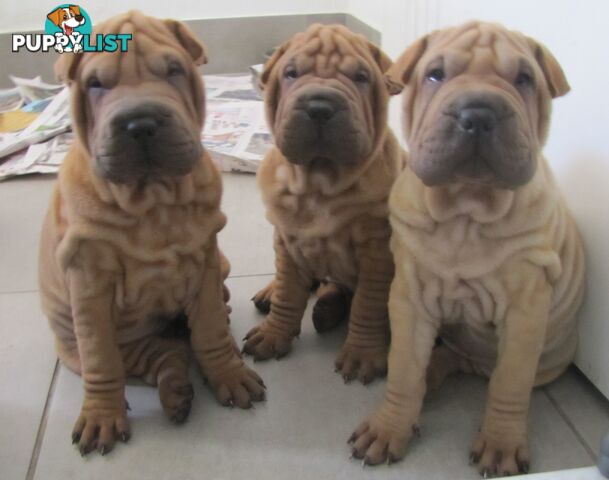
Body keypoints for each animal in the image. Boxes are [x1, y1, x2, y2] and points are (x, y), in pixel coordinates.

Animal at [38, 9, 264, 456]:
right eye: (95, 84)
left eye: (174, 70)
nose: (139, 122)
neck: (152, 200)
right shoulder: (89, 288)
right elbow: (102, 359)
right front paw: (102, 416)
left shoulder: (206, 260)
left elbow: (210, 327)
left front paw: (229, 374)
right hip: (103, 345)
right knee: (161, 356)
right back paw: (176, 392)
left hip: (221, 267)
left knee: (186, 340)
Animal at [240, 22, 406, 384]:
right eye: (290, 73)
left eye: (361, 77)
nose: (319, 105)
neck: (320, 182)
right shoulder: (287, 239)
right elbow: (288, 293)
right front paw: (273, 334)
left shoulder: (377, 253)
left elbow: (368, 305)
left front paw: (362, 355)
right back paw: (277, 294)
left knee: (338, 289)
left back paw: (327, 309)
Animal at [350, 20, 588, 474]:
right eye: (435, 75)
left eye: (524, 79)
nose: (478, 114)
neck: (466, 213)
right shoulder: (409, 300)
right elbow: (403, 371)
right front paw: (390, 427)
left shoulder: (525, 312)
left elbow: (510, 384)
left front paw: (501, 443)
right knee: (443, 360)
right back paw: (429, 378)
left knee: (489, 372)